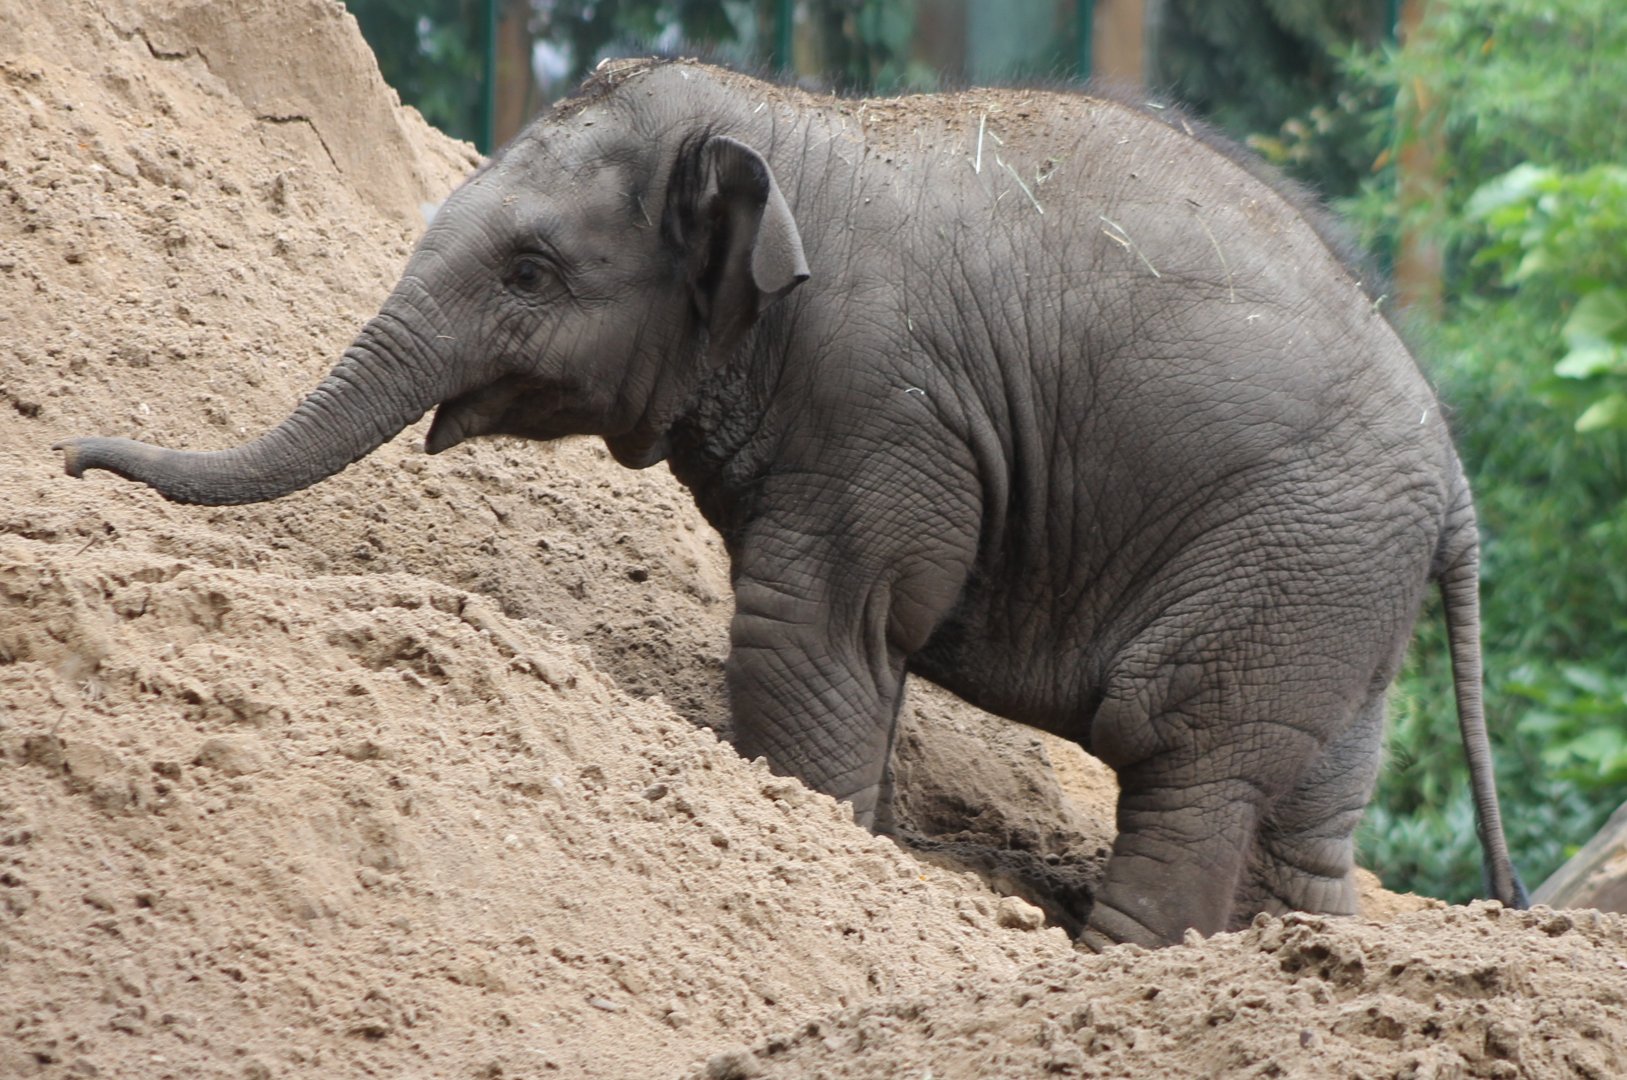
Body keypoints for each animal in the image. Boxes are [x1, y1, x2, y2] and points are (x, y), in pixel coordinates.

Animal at [56, 58, 1526, 948]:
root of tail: (1457, 480)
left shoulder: (881, 411)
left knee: (1189, 764)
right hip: (1337, 599)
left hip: (1287, 559)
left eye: (531, 271)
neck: (785, 116)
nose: (72, 458)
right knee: (1303, 811)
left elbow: (810, 634)